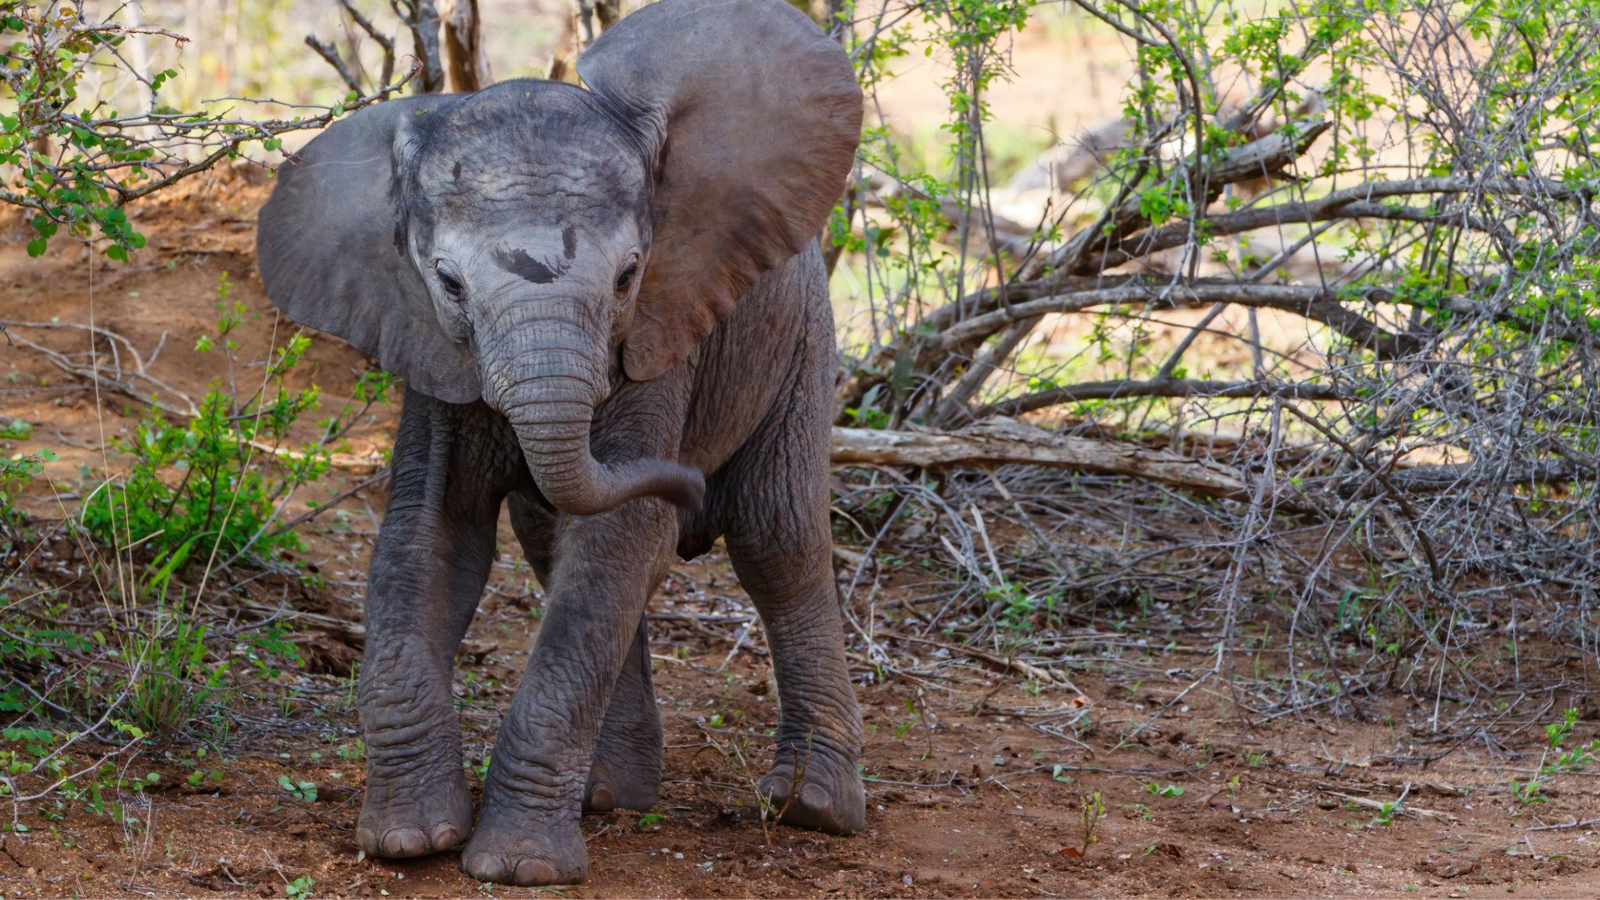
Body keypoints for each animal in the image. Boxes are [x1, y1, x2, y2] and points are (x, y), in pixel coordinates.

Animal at [254, 0, 864, 886]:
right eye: (449, 283)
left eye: (628, 276)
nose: (684, 484)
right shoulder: (431, 352)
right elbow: (426, 540)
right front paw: (409, 841)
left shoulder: (662, 333)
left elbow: (613, 544)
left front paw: (518, 867)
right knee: (556, 546)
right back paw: (612, 797)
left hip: (799, 338)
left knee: (776, 540)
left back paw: (811, 809)